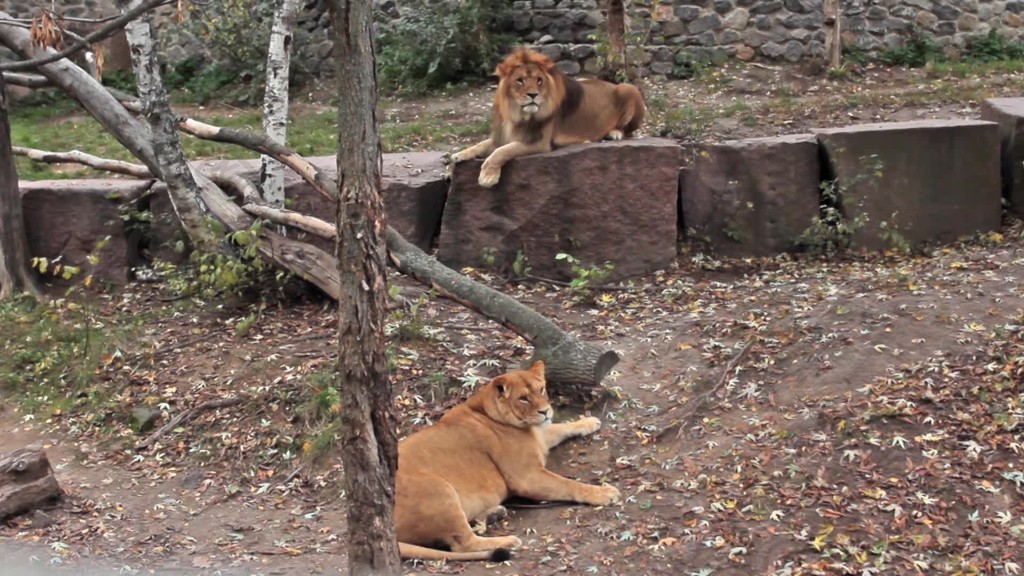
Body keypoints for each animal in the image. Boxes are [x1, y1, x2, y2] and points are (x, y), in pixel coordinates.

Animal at [393, 360, 614, 557]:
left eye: (542, 389)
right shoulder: (526, 477)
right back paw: (508, 541)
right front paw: (604, 493)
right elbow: (568, 484)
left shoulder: (539, 438)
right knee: (462, 544)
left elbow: (560, 427)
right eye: (523, 398)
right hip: (439, 488)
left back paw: (494, 514)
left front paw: (589, 421)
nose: (545, 411)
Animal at [450, 47, 643, 186]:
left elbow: (502, 150)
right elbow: (483, 144)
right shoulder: (503, 135)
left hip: (628, 88)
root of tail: (611, 84)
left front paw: (487, 176)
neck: (517, 114)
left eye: (539, 80)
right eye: (520, 80)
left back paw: (613, 133)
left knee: (629, 131)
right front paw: (459, 154)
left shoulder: (539, 142)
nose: (533, 95)